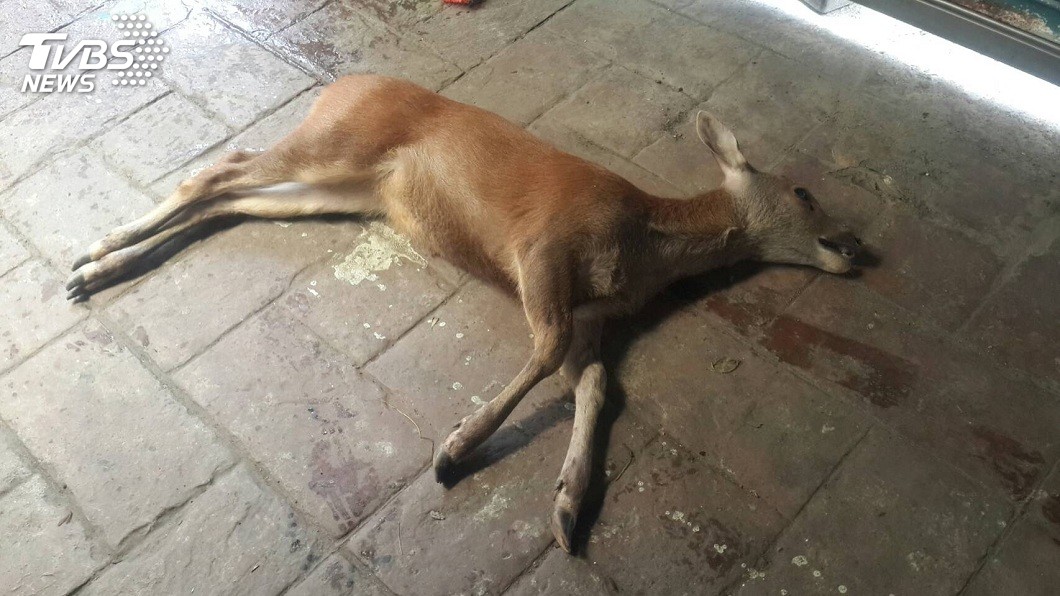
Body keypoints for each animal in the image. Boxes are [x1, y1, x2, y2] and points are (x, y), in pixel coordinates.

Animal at [66, 74, 861, 553]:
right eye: (803, 194)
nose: (856, 246)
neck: (642, 244)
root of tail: (342, 82)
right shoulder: (542, 246)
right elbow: (548, 351)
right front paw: (456, 449)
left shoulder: (594, 315)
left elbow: (597, 383)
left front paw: (570, 503)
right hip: (339, 141)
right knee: (220, 169)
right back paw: (97, 252)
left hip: (345, 190)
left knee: (231, 202)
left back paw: (102, 267)